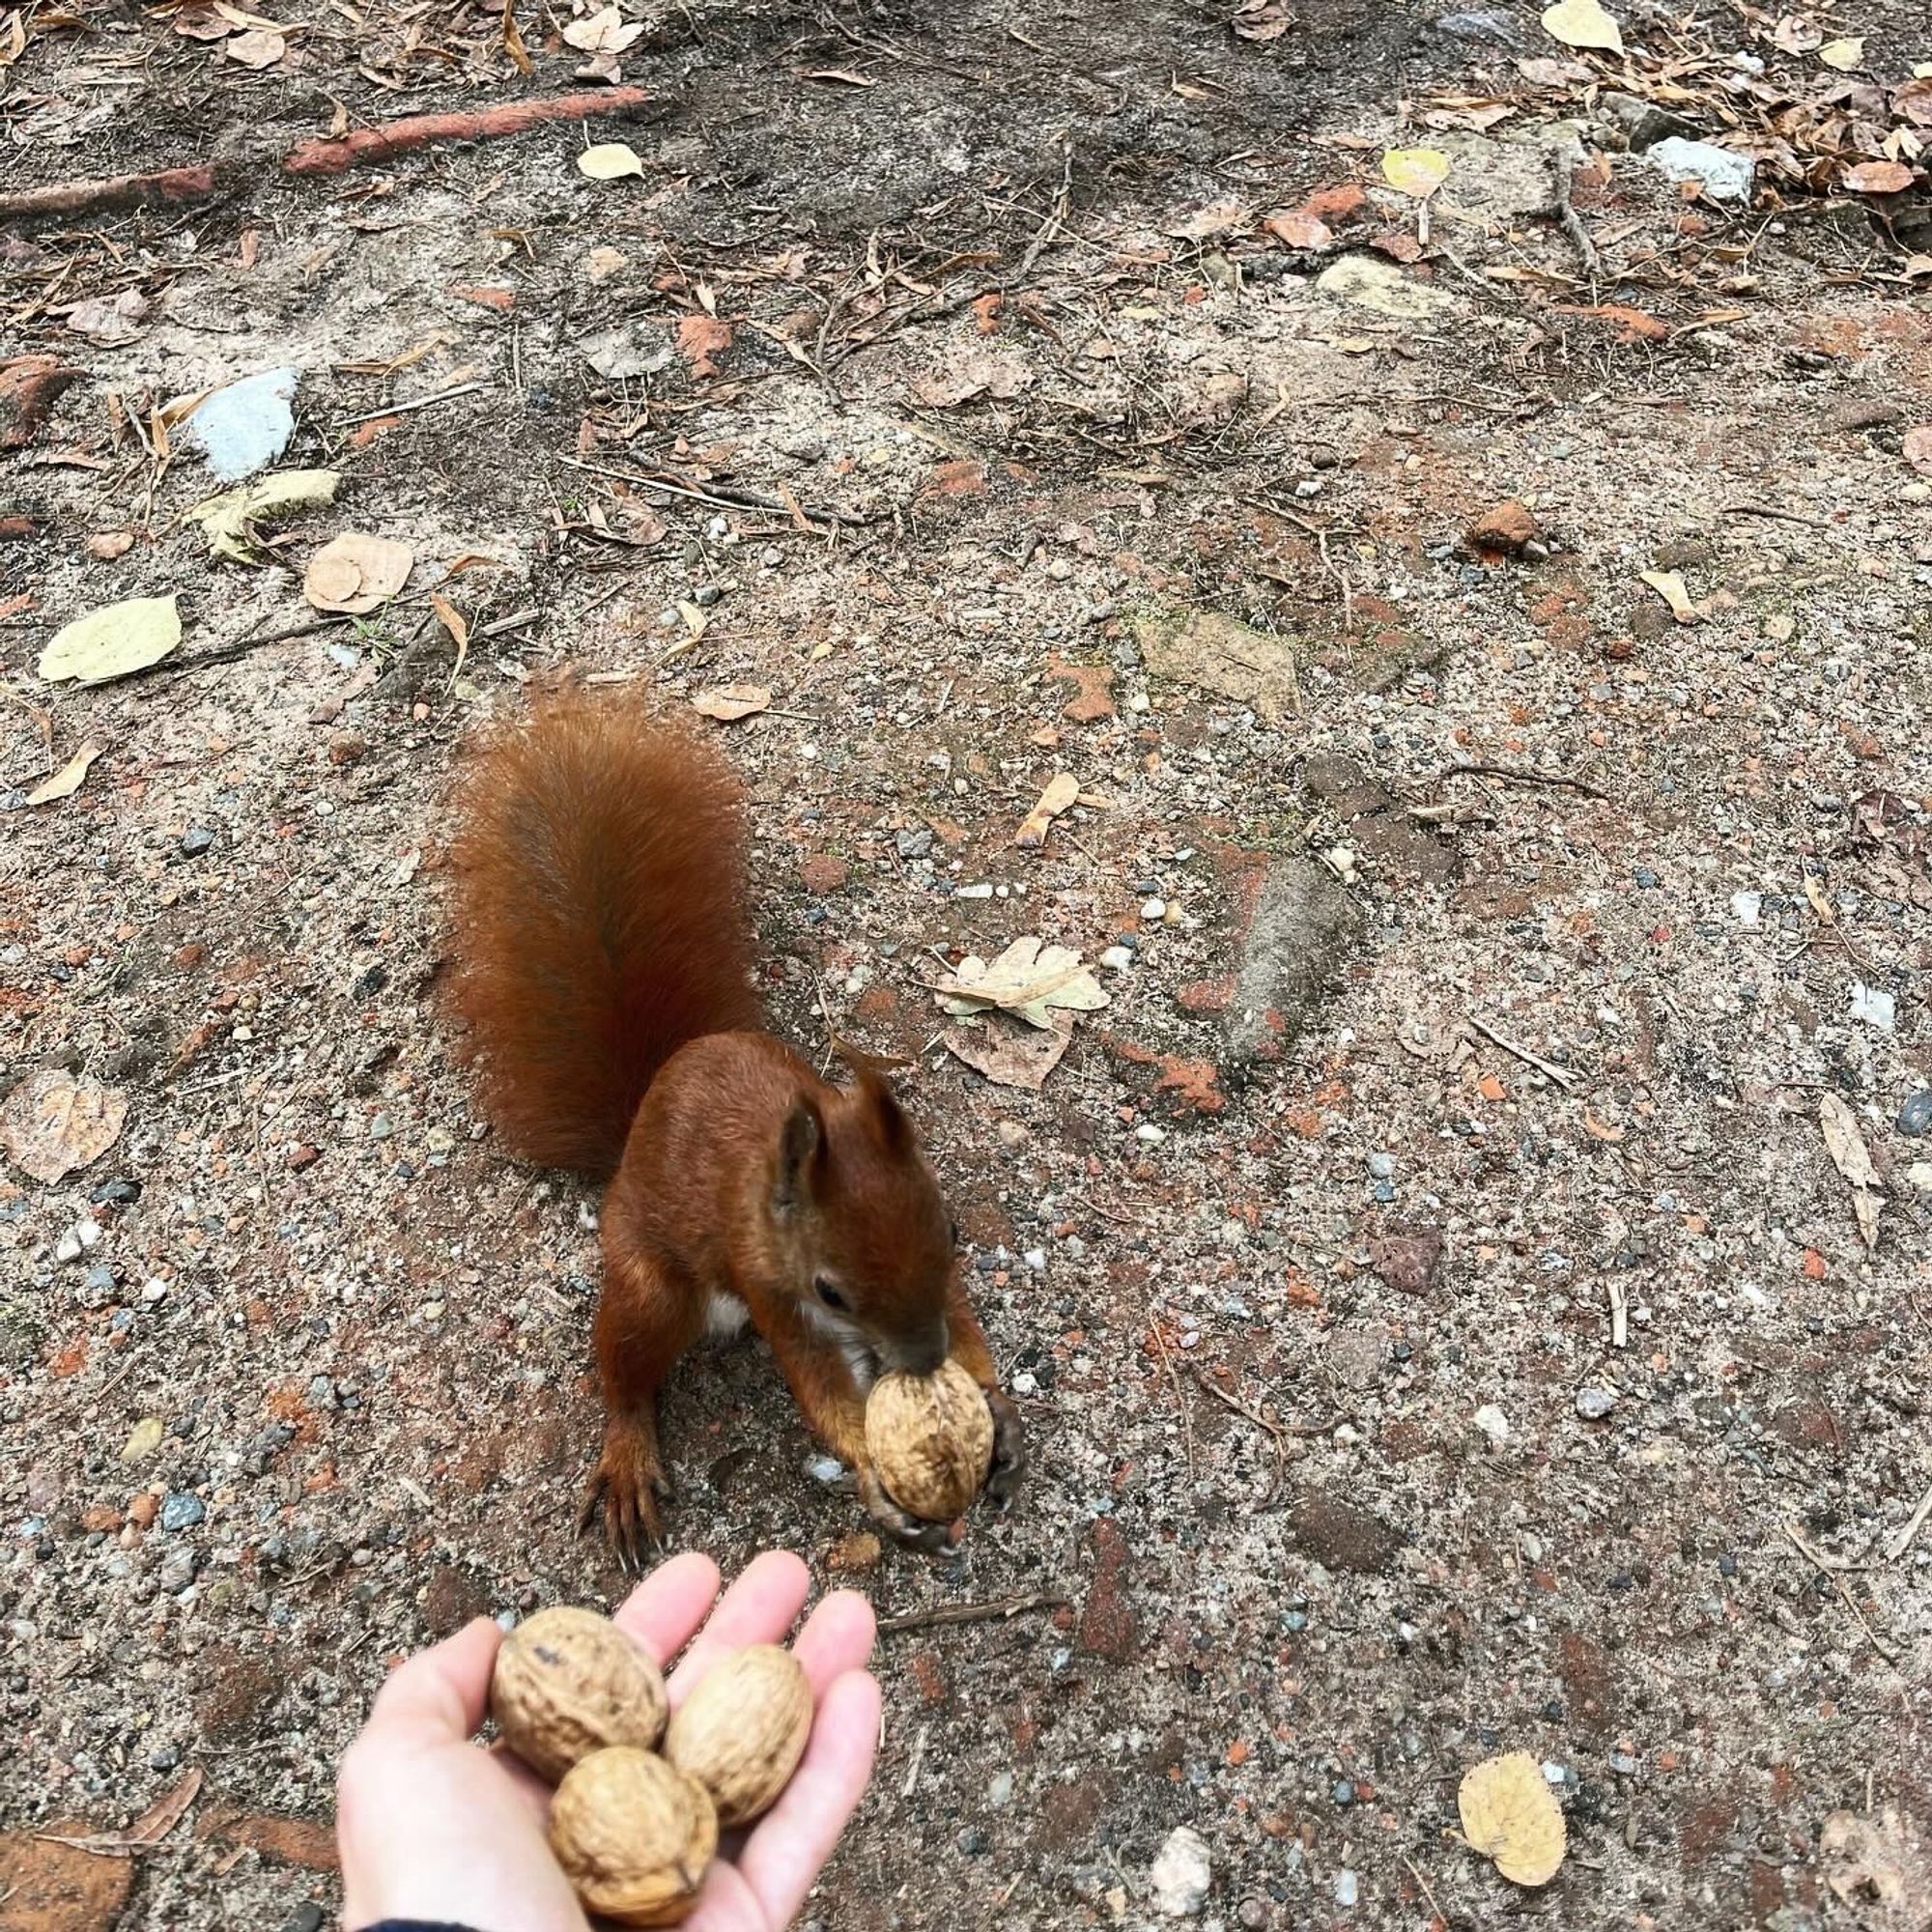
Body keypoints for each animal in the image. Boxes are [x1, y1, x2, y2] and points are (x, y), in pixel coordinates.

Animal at [444, 696, 1028, 1553]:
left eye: (953, 1231)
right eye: (830, 1290)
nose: (925, 1361)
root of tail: (640, 1114)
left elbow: (962, 1318)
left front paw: (998, 1407)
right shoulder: (768, 1283)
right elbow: (821, 1387)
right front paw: (873, 1474)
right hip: (650, 1286)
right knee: (623, 1373)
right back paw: (628, 1455)